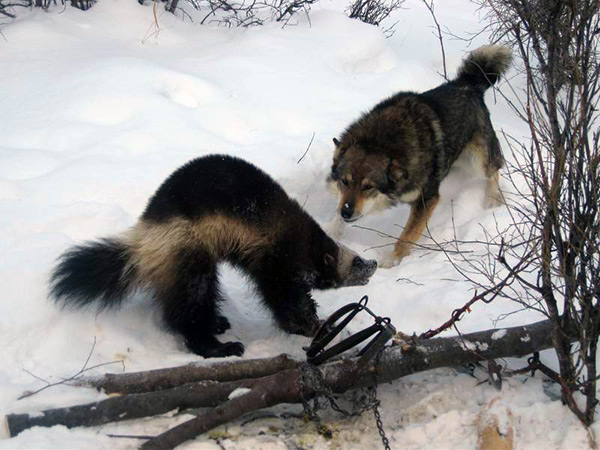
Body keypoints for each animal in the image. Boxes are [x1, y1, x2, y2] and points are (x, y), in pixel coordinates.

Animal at [52, 155, 380, 358]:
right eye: (356, 261)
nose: (373, 264)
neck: (302, 240)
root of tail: (143, 236)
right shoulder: (273, 260)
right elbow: (287, 300)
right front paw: (315, 326)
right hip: (188, 252)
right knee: (190, 305)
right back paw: (216, 345)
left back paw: (217, 322)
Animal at [328, 44, 510, 268]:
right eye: (344, 182)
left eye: (368, 187)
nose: (346, 211)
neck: (380, 143)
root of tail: (467, 83)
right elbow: (336, 216)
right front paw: (330, 231)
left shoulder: (427, 199)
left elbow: (407, 235)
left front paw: (391, 261)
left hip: (477, 161)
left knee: (495, 169)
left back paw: (492, 200)